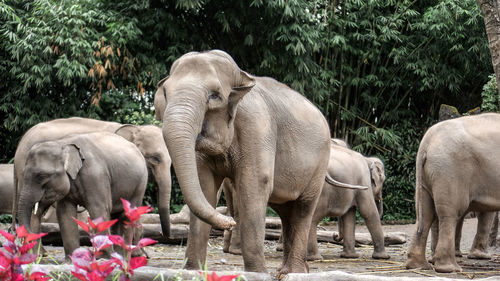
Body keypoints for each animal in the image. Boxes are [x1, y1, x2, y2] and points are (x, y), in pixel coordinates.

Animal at [16, 132, 148, 258]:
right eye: (23, 174)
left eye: (41, 176)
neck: (62, 143)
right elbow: (65, 213)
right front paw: (71, 259)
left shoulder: (96, 176)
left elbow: (98, 209)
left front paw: (103, 257)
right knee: (116, 217)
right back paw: (118, 257)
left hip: (140, 185)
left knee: (127, 215)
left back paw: (123, 257)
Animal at [154, 49, 366, 272]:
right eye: (165, 93)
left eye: (214, 95)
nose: (230, 221)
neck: (241, 76)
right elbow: (204, 186)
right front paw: (192, 271)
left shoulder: (256, 126)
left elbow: (254, 184)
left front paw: (257, 272)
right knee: (286, 212)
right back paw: (286, 272)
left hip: (320, 163)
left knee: (304, 208)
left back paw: (294, 272)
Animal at [406, 112, 500, 272]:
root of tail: (426, 143)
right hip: (450, 170)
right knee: (450, 213)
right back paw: (450, 268)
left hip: (428, 176)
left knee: (425, 214)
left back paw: (418, 266)